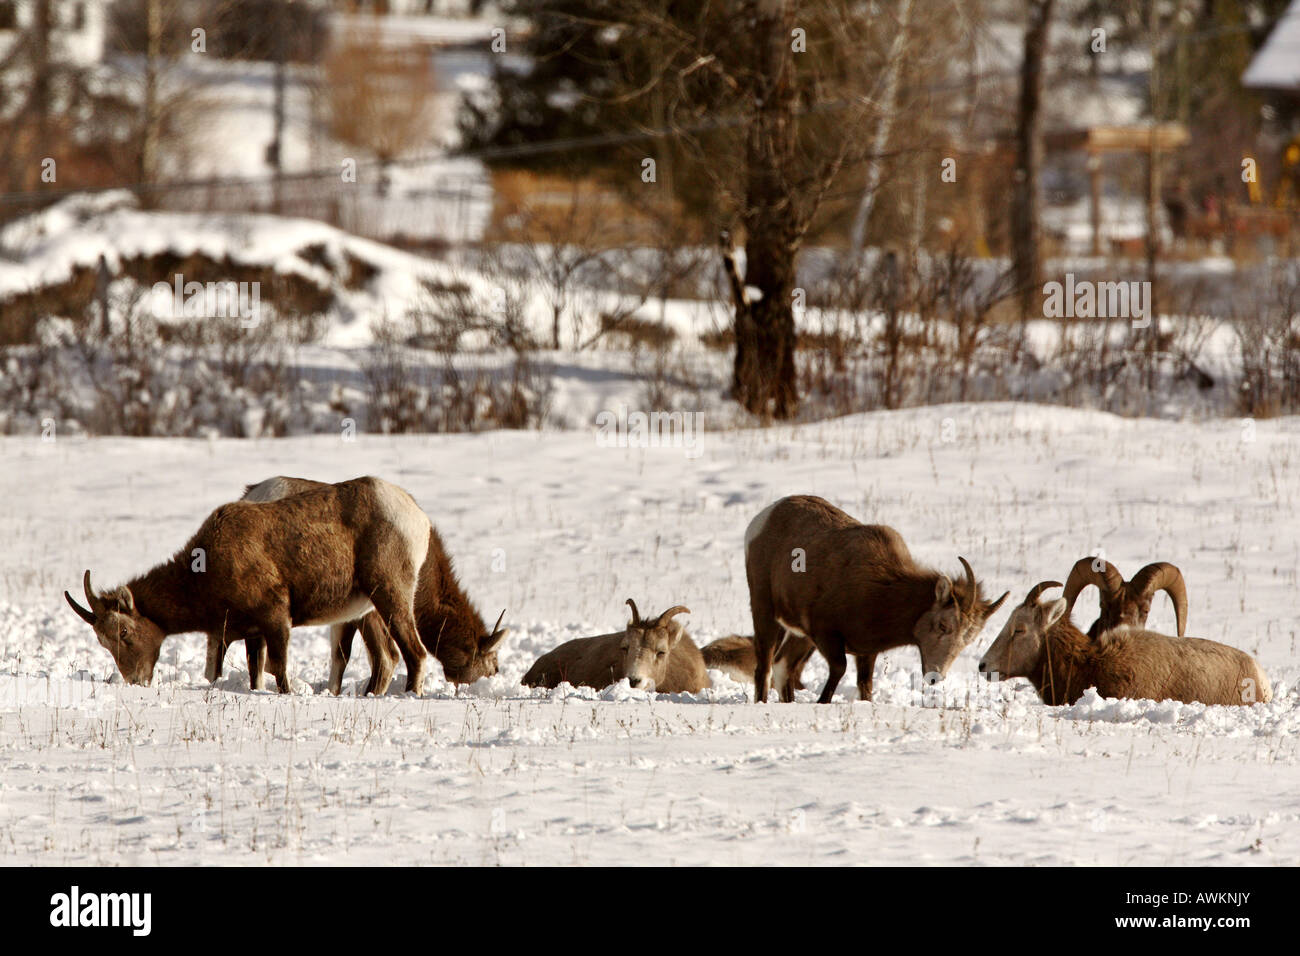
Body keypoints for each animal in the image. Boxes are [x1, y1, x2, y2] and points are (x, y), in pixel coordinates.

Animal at [64, 481, 431, 691]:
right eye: (103, 641)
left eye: (125, 632)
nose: (136, 680)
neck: (205, 573)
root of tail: (419, 519)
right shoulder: (250, 633)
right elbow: (256, 675)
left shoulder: (276, 616)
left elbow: (279, 672)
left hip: (390, 594)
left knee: (414, 652)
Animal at [206, 476, 501, 697]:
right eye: (493, 666)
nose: (489, 682)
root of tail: (250, 496)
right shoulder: (369, 612)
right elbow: (382, 659)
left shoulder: (349, 614)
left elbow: (342, 657)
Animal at [743, 496, 1003, 707]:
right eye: (943, 626)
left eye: (967, 640)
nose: (935, 676)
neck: (878, 592)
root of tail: (762, 519)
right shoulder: (827, 635)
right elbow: (839, 670)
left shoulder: (866, 652)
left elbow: (865, 687)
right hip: (766, 612)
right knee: (764, 667)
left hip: (799, 636)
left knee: (782, 666)